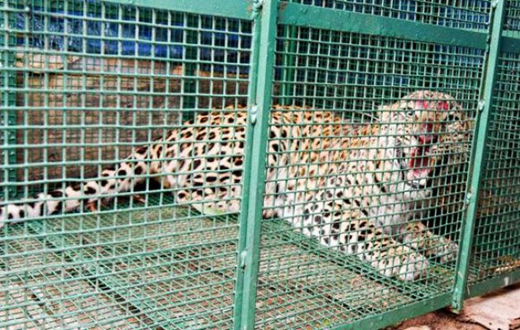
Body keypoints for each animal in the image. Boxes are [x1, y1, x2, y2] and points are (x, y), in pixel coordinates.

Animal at [0, 90, 472, 282]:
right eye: (411, 114)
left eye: (449, 118)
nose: (427, 133)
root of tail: (167, 135)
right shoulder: (327, 203)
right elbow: (368, 231)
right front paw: (403, 258)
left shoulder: (406, 211)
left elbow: (414, 228)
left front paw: (440, 243)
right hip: (263, 140)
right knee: (188, 192)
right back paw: (264, 204)